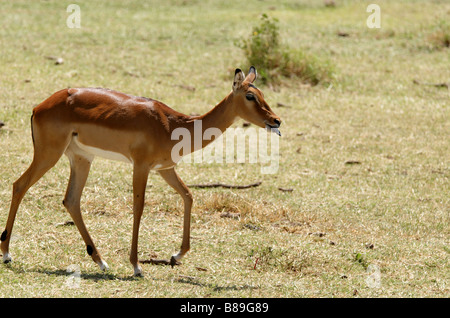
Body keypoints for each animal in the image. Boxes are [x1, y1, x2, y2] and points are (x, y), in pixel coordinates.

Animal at [0, 66, 282, 276]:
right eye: (250, 96)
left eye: (262, 93)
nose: (276, 120)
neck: (173, 125)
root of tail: (38, 107)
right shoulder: (141, 166)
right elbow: (139, 206)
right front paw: (136, 266)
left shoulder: (165, 169)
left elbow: (188, 196)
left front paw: (176, 255)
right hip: (49, 154)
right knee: (19, 185)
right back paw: (6, 254)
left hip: (81, 158)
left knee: (71, 200)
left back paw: (100, 261)